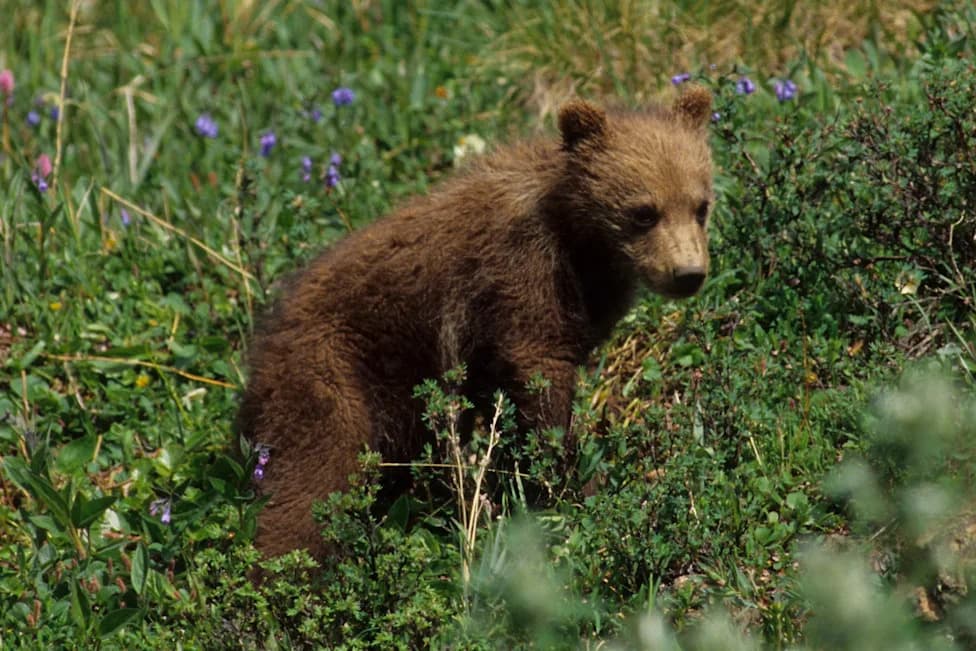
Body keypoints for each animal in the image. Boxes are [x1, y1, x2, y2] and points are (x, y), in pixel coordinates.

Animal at [237, 86, 715, 559]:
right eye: (644, 212)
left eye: (700, 206)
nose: (688, 273)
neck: (581, 241)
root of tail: (262, 347)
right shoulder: (520, 272)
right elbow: (541, 370)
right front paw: (574, 482)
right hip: (333, 373)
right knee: (313, 479)